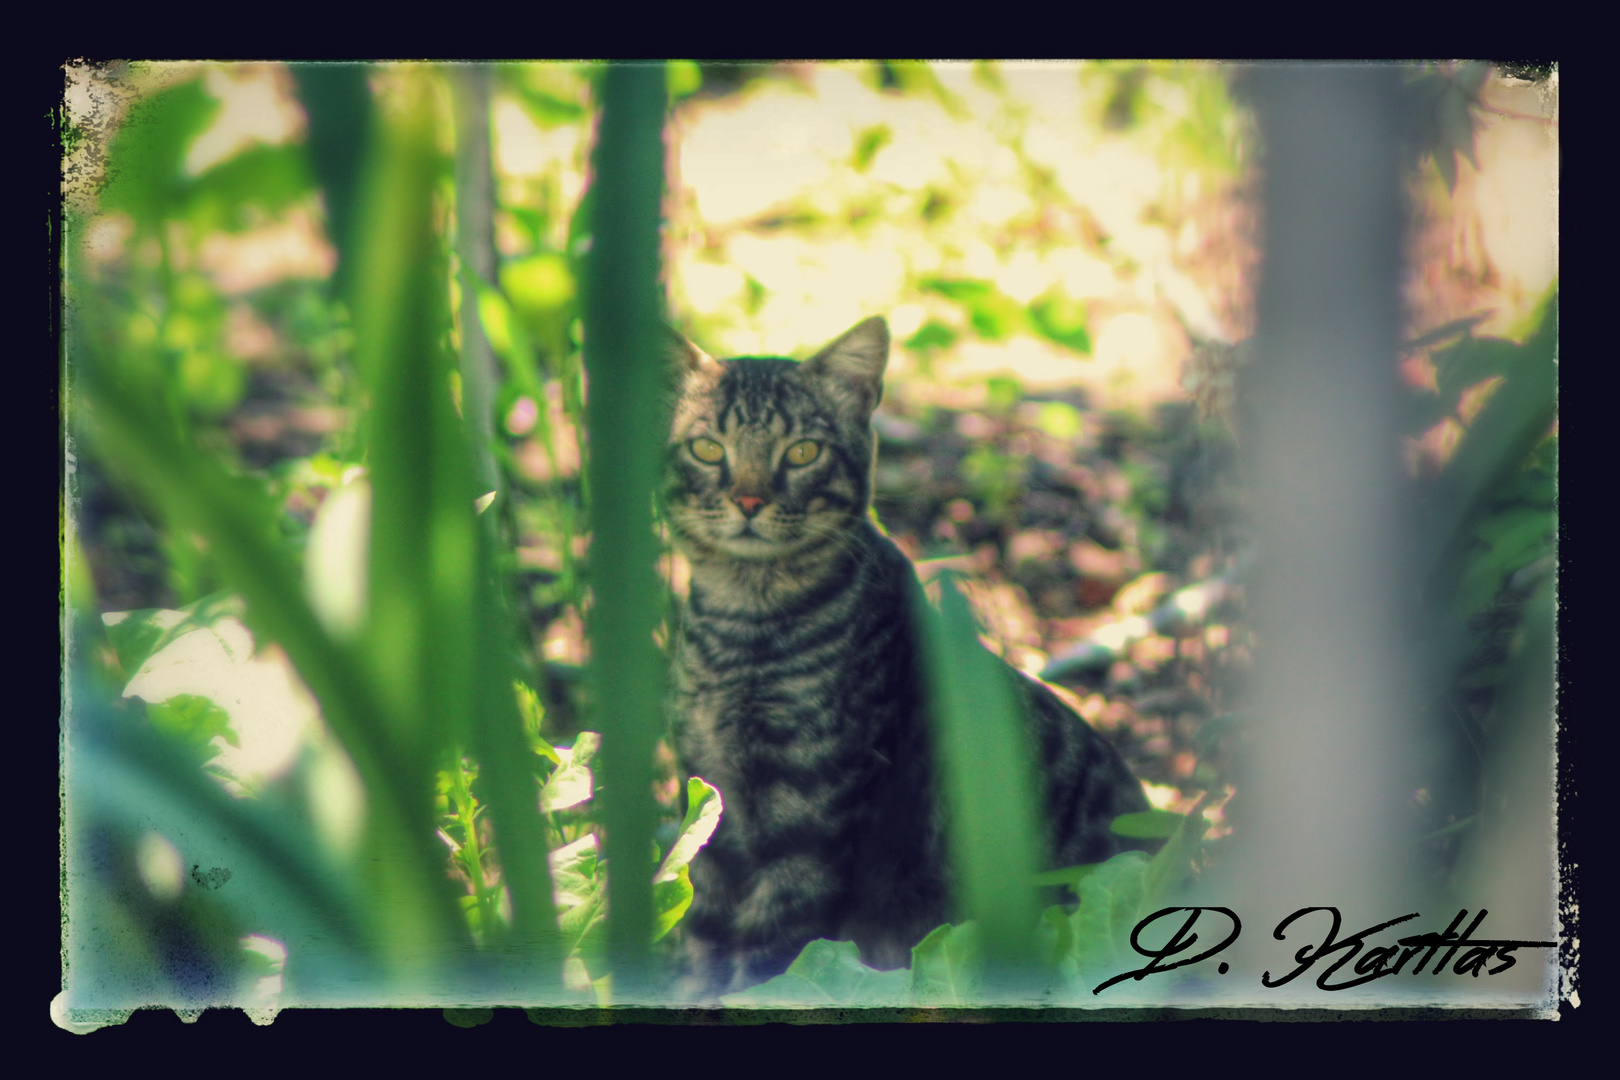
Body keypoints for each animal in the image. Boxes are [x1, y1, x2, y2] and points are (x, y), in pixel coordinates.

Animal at [660, 314, 1153, 997]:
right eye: (708, 449)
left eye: (803, 452)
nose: (750, 501)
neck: (745, 630)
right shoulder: (710, 803)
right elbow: (701, 946)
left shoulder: (808, 824)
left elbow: (767, 961)